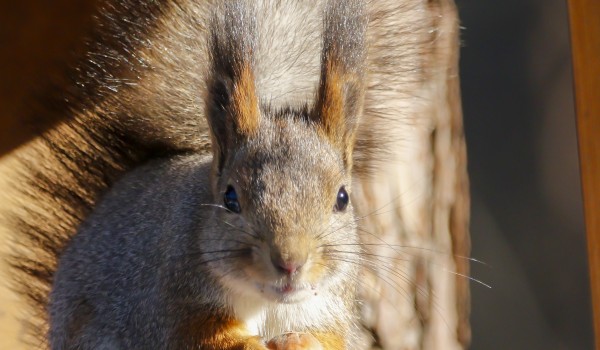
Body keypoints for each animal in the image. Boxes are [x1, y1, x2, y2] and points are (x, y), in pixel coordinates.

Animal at [2, 0, 466, 350]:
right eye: (230, 198)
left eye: (342, 198)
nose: (290, 262)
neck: (267, 305)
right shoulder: (170, 300)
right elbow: (202, 337)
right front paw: (250, 345)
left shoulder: (331, 306)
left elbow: (329, 337)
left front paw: (303, 343)